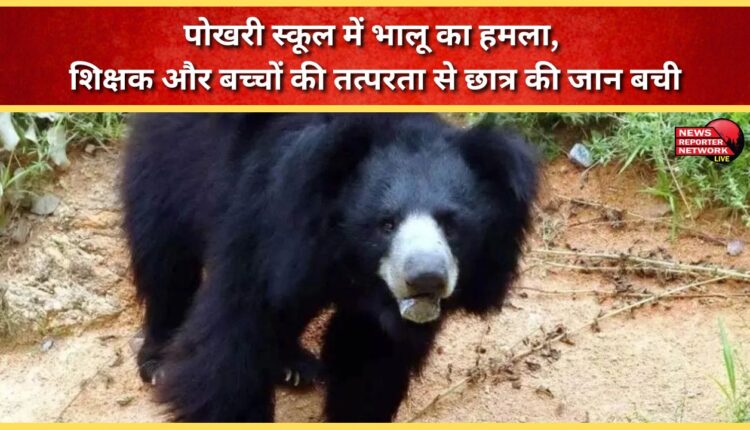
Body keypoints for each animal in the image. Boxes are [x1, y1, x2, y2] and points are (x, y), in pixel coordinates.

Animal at [121, 113, 538, 422]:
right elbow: (229, 348)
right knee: (165, 258)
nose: (426, 279)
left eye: (452, 225)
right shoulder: (266, 224)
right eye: (386, 223)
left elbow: (369, 358)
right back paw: (157, 360)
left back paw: (293, 365)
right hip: (170, 164)